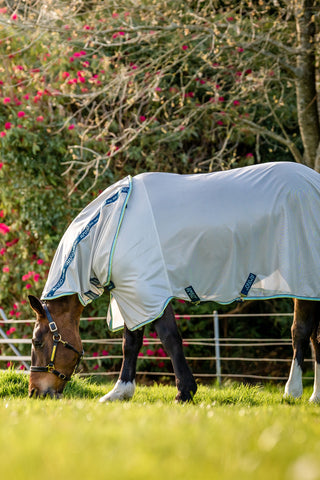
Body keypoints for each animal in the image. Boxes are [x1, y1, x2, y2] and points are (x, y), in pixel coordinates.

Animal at [26, 163, 320, 404]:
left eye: (37, 342)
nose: (35, 393)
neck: (109, 227)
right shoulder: (131, 295)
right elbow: (131, 343)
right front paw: (120, 392)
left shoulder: (148, 292)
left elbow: (169, 339)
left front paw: (184, 391)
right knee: (316, 339)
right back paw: (314, 397)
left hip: (304, 279)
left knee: (301, 333)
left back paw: (293, 391)